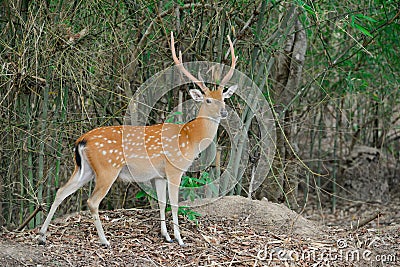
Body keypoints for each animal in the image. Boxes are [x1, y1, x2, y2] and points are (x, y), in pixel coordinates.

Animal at [38, 32, 238, 248]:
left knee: (61, 191)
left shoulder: (159, 175)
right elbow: (175, 204)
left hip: (85, 169)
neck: (189, 137)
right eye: (208, 100)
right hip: (107, 168)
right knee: (92, 201)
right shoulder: (174, 168)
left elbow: (161, 203)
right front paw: (179, 239)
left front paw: (166, 235)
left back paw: (41, 236)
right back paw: (105, 241)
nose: (224, 112)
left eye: (224, 99)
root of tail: (81, 140)